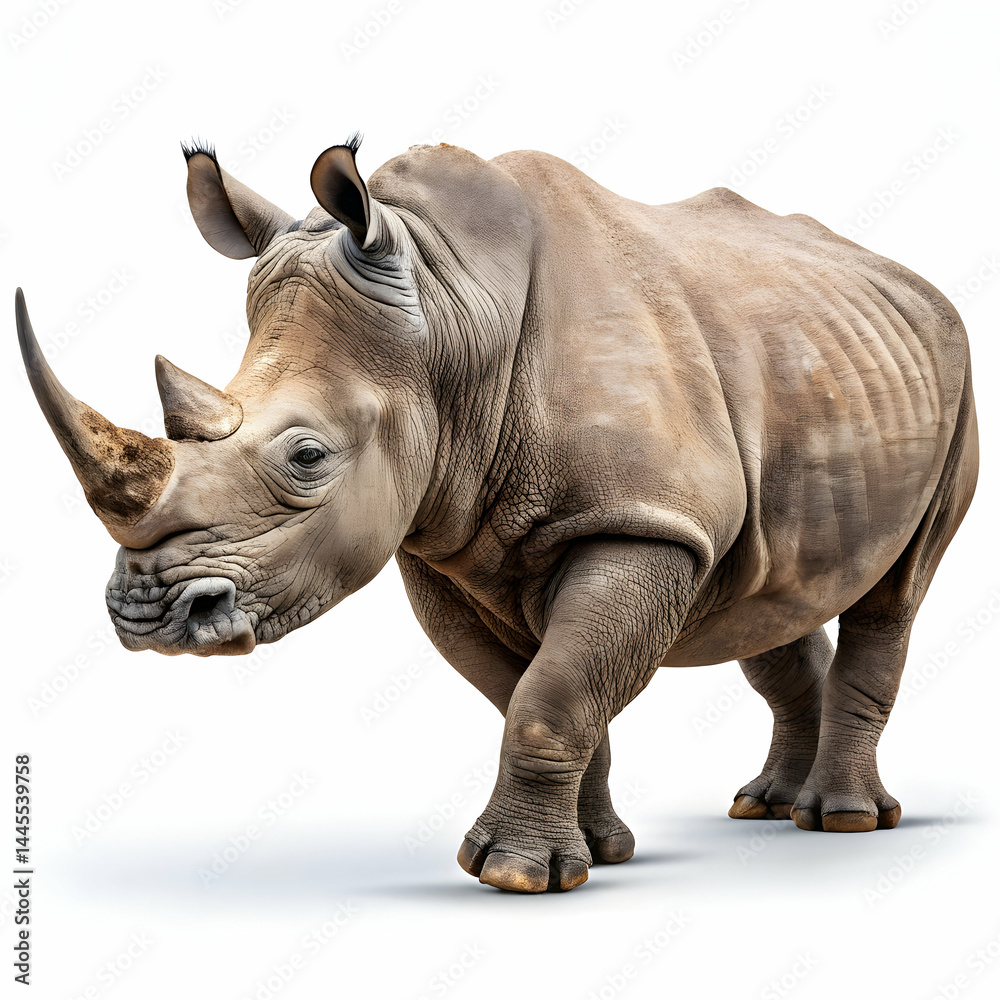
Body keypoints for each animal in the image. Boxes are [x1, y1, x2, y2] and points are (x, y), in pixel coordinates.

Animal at [16, 135, 978, 893]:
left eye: (307, 458)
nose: (148, 616)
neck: (449, 314)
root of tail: (914, 282)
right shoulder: (437, 539)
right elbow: (528, 691)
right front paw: (593, 853)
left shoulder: (642, 519)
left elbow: (555, 693)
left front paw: (515, 876)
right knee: (765, 589)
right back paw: (764, 807)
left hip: (958, 373)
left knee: (895, 590)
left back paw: (842, 821)